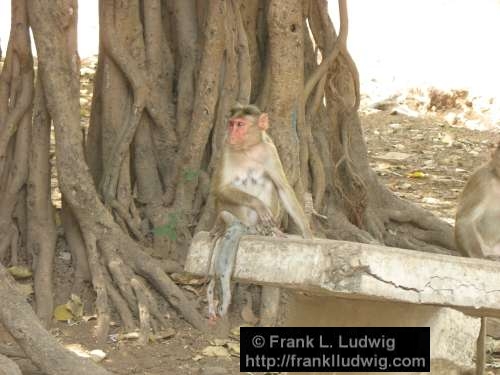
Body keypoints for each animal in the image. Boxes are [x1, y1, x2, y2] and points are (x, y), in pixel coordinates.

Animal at [207, 103, 312, 324]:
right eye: (232, 124)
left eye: (240, 124)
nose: (231, 132)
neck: (248, 149)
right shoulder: (225, 148)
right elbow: (219, 189)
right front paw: (259, 205)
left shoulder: (270, 150)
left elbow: (283, 188)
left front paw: (308, 233)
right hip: (238, 215)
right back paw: (230, 224)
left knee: (268, 182)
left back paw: (270, 231)